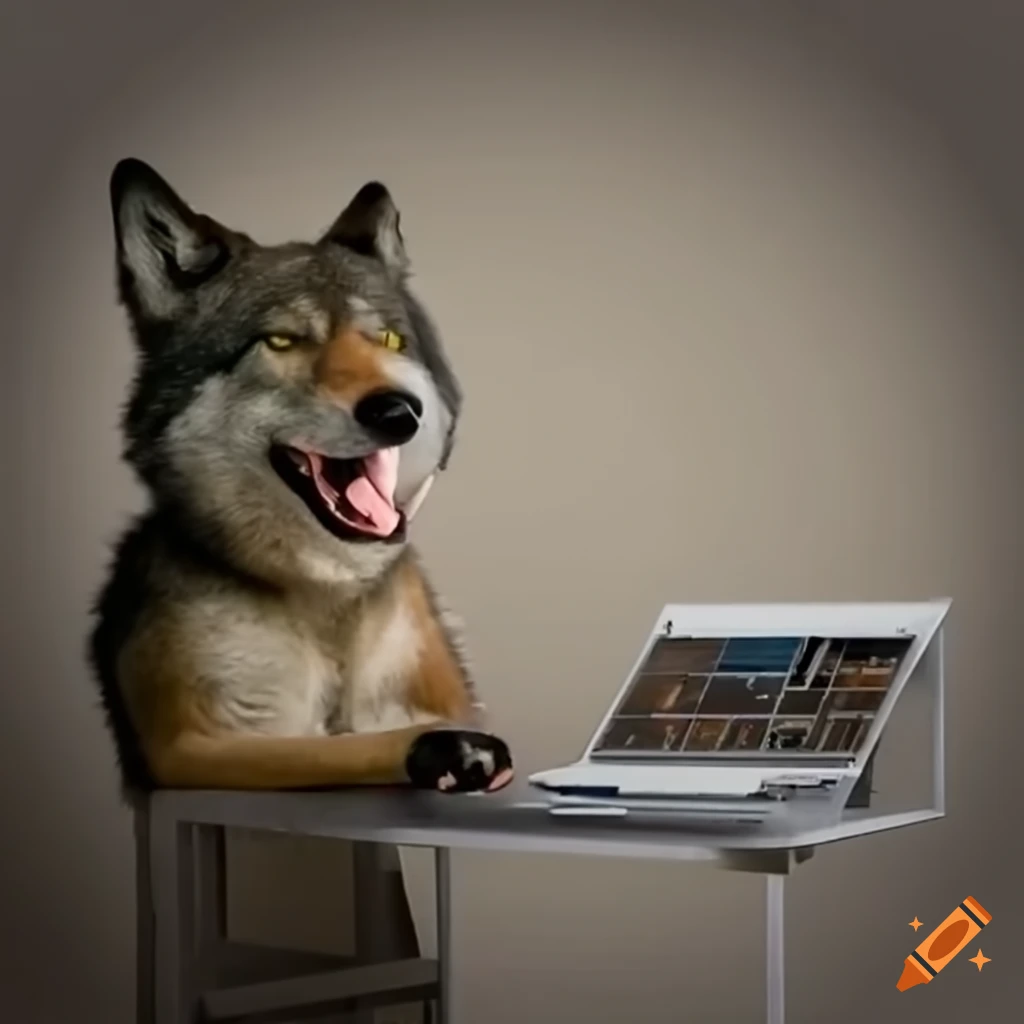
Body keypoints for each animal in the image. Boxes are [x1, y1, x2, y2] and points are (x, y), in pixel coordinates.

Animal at [88, 158, 513, 797]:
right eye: (282, 340)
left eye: (389, 339)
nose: (399, 412)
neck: (326, 598)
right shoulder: (187, 750)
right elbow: (330, 749)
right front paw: (441, 750)